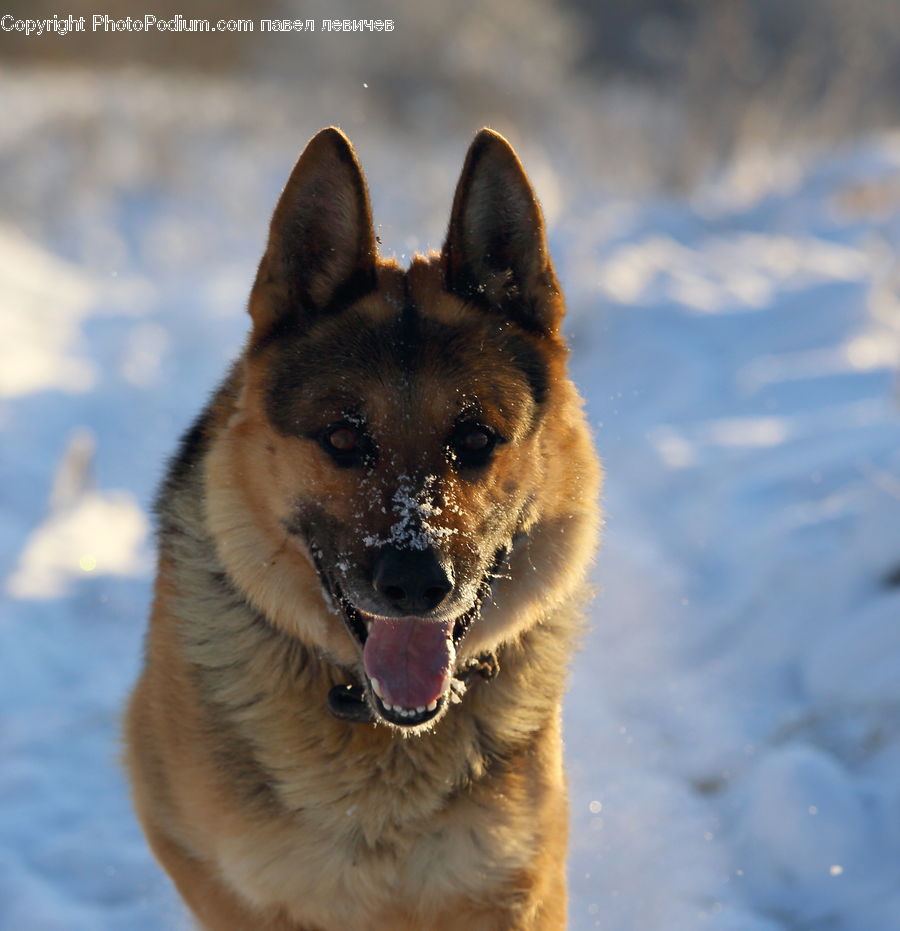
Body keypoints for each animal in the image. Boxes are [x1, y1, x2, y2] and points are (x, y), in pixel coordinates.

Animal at [123, 125, 600, 931]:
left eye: (476, 439)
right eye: (344, 438)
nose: (415, 584)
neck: (381, 725)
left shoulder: (513, 889)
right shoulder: (226, 878)